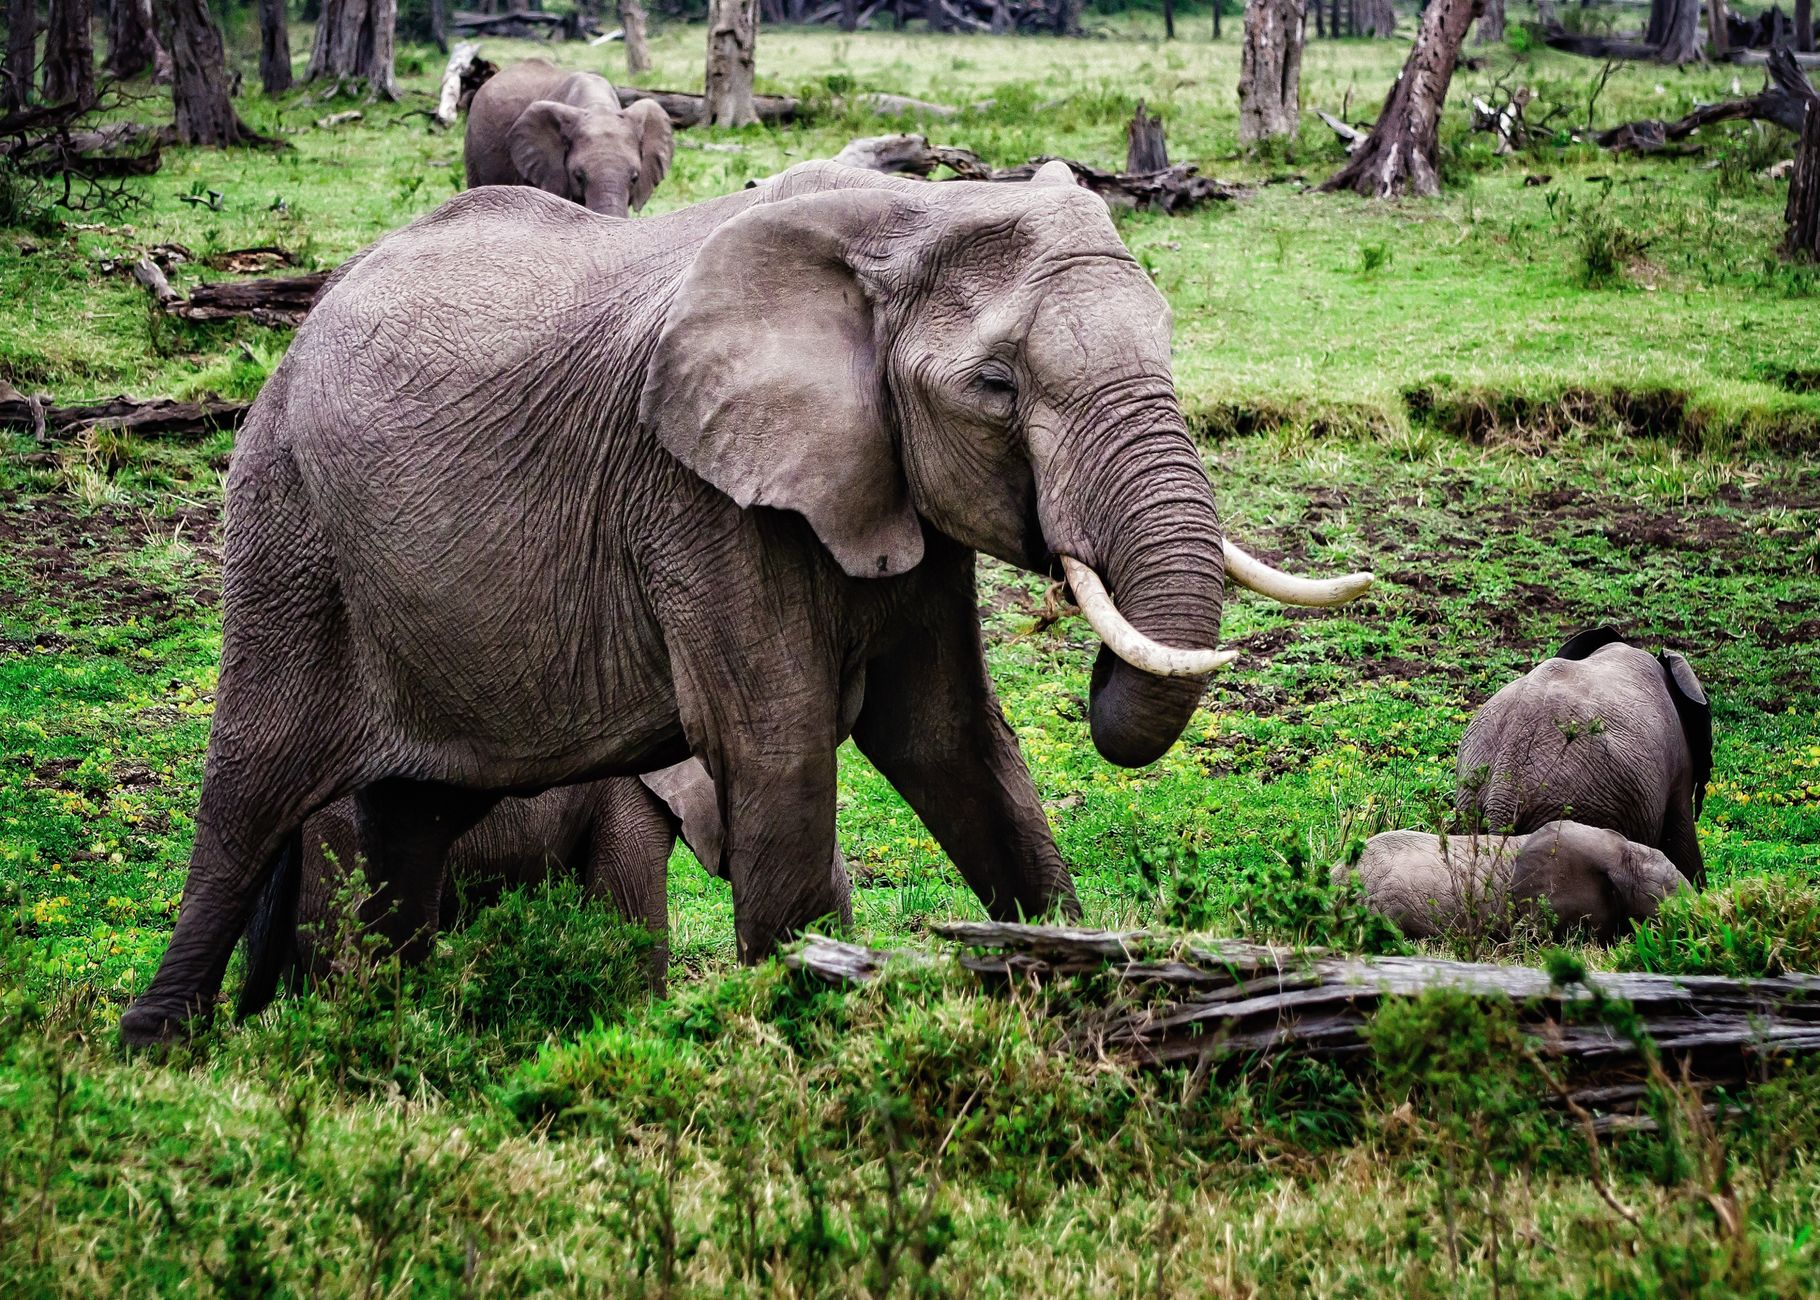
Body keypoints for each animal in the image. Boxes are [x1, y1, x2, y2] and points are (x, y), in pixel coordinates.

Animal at [119, 159, 1372, 1045]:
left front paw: (1066, 970)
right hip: (289, 530)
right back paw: (161, 1052)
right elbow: (777, 744)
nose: (1099, 645)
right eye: (995, 388)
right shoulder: (698, 495)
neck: (902, 219)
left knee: (408, 821)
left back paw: (390, 1031)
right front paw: (808, 1023)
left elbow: (949, 740)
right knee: (247, 797)